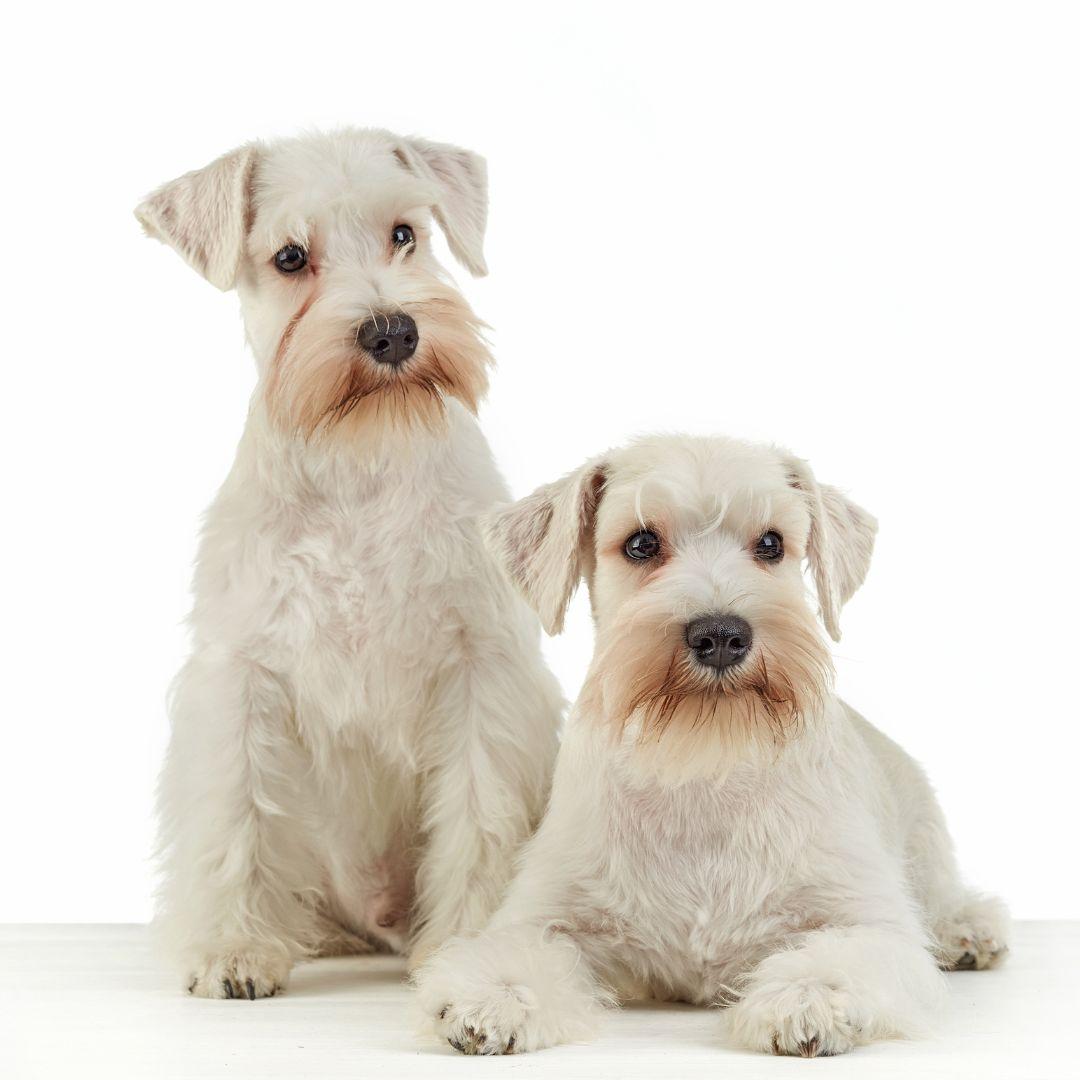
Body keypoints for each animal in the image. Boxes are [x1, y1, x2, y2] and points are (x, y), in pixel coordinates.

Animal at [416, 432, 1006, 1054]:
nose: (721, 634)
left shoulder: (869, 920)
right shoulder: (547, 912)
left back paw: (969, 930)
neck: (701, 766)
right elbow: (516, 949)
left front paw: (807, 999)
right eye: (642, 543)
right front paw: (492, 995)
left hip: (925, 843)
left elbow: (844, 954)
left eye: (771, 543)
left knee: (944, 895)